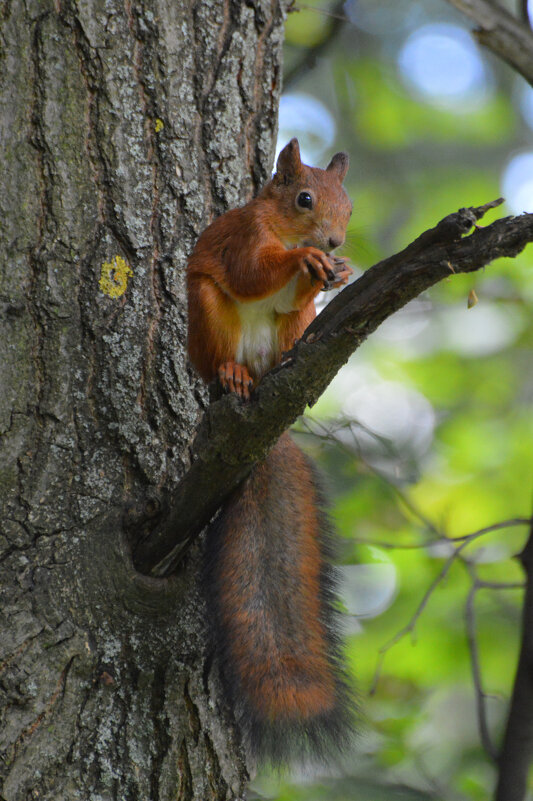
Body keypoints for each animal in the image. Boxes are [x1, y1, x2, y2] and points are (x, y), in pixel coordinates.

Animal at [185, 136, 356, 764]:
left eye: (348, 206)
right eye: (304, 198)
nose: (333, 244)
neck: (282, 229)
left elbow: (286, 297)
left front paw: (338, 274)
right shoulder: (244, 239)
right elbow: (253, 271)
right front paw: (302, 261)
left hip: (295, 330)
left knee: (289, 328)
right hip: (209, 316)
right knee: (225, 355)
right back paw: (234, 376)